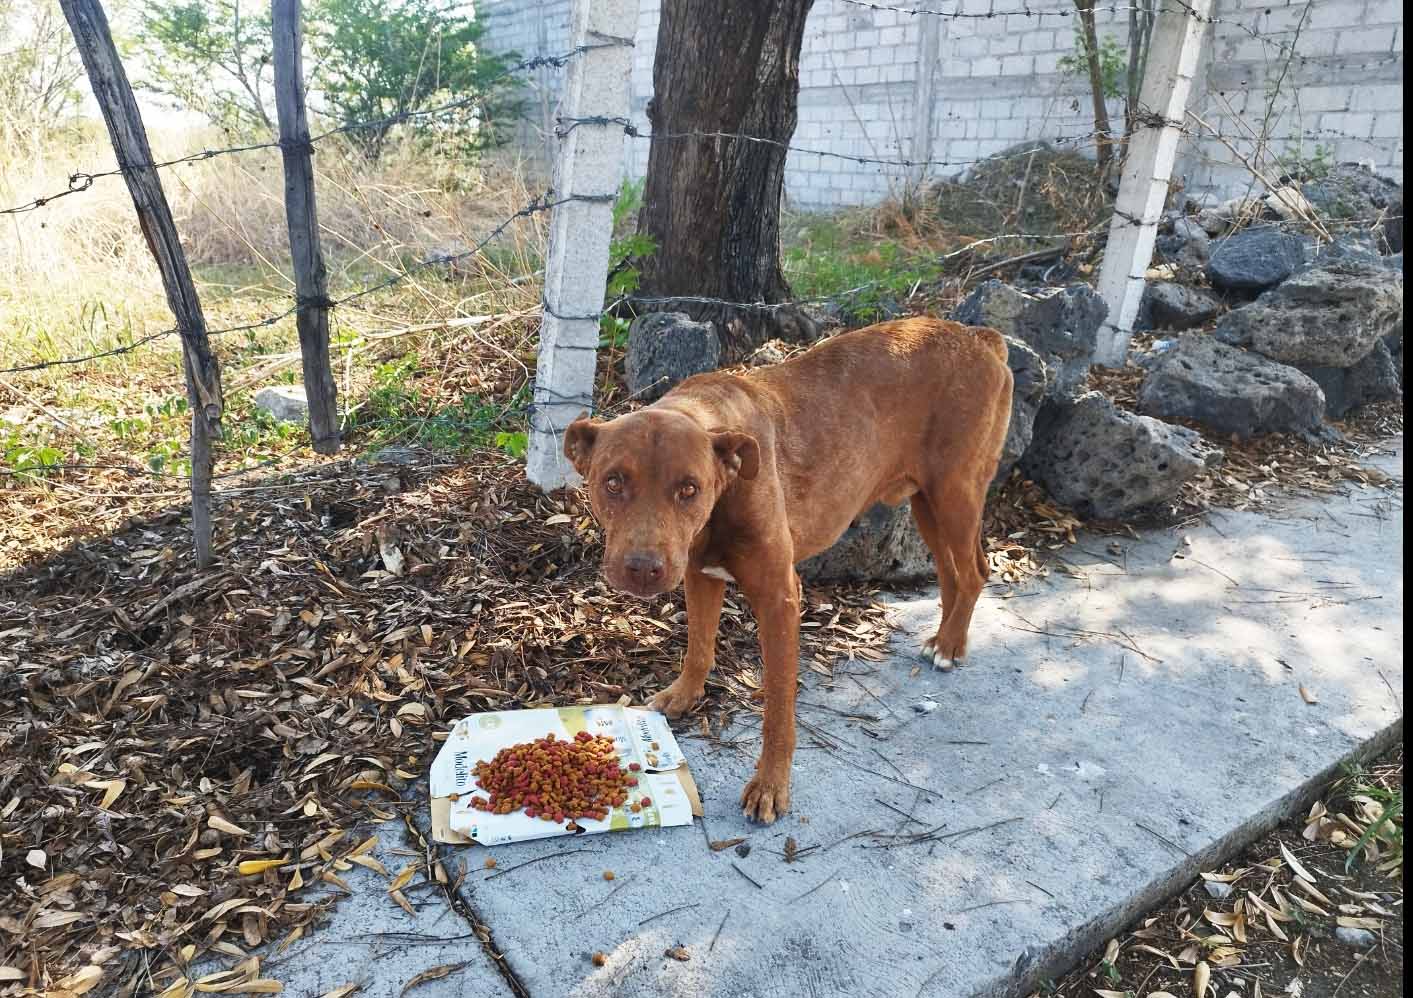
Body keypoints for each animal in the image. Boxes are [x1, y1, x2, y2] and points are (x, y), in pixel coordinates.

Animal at [562, 315, 1017, 819]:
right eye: (613, 482)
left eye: (689, 489)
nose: (643, 569)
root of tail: (979, 337)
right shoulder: (701, 576)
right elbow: (699, 646)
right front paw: (685, 695)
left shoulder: (779, 599)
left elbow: (778, 706)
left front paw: (770, 784)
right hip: (926, 502)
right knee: (953, 573)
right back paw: (944, 639)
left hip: (955, 493)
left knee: (975, 571)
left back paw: (952, 644)